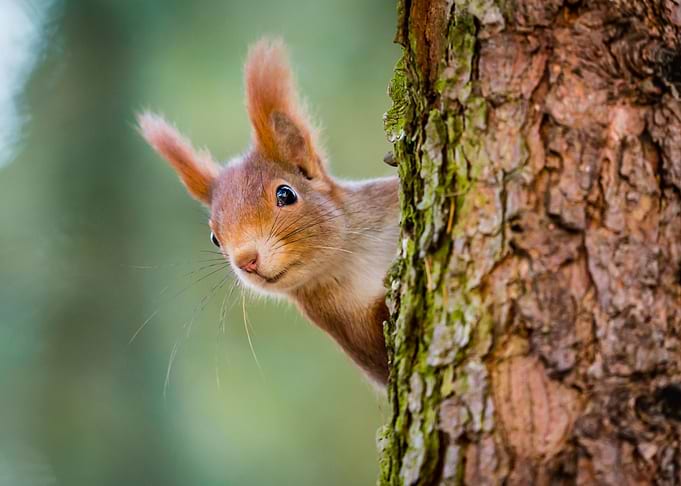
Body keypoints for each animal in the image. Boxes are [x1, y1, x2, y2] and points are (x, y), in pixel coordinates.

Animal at [137, 38, 399, 385]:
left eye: (285, 194)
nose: (246, 260)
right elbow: (382, 356)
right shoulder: (348, 328)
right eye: (214, 238)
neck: (353, 256)